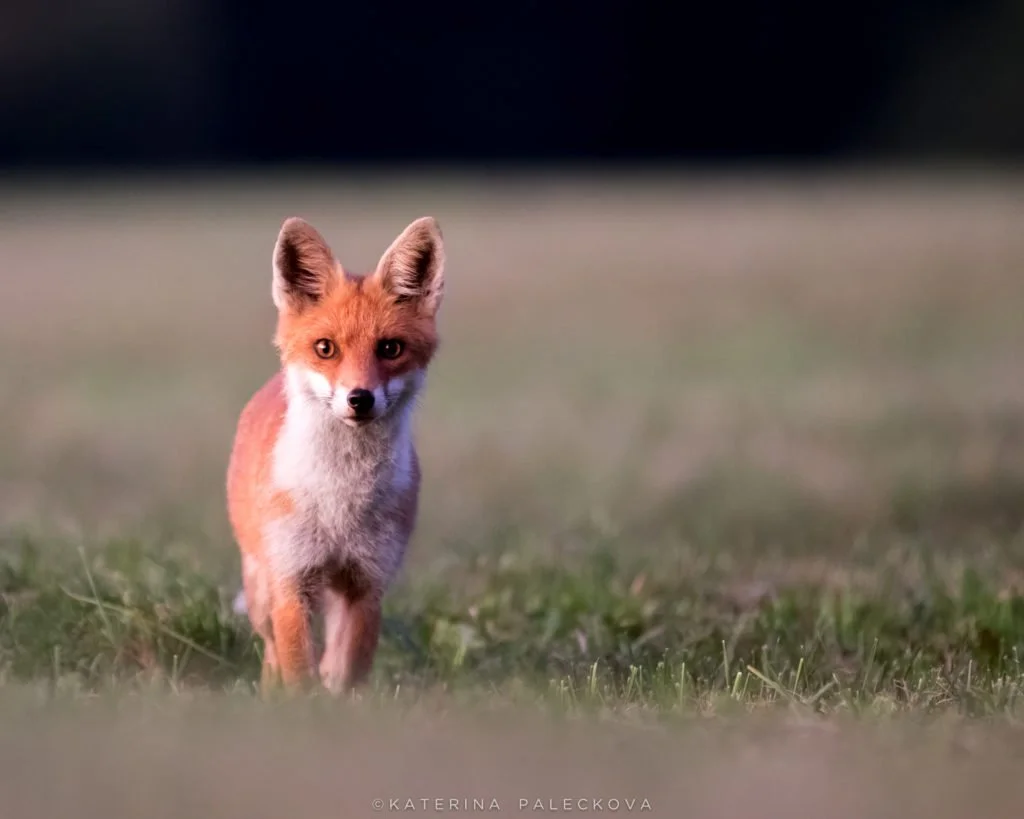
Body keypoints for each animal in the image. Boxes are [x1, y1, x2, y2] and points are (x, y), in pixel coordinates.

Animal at [226, 215, 445, 693]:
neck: (340, 503)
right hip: (262, 589)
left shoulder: (367, 583)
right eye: (325, 348)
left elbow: (346, 673)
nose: (359, 398)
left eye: (390, 348)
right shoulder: (292, 581)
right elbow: (298, 674)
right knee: (271, 652)